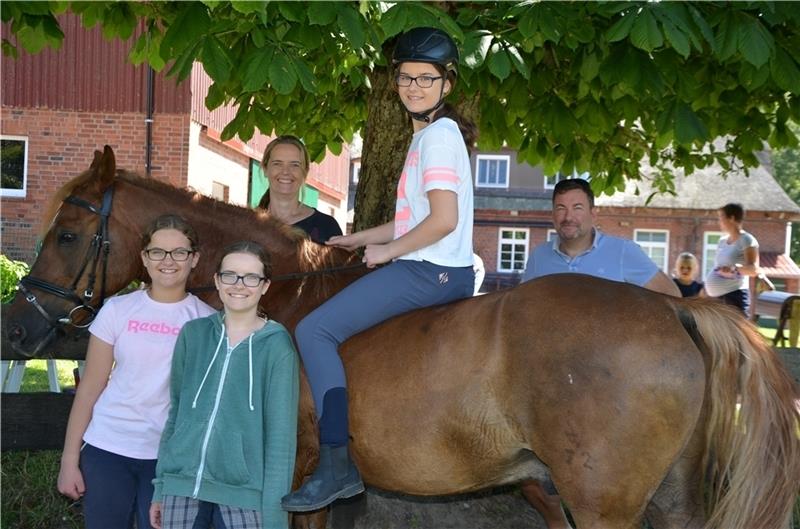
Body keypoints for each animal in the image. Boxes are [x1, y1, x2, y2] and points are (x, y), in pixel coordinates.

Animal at [3, 147, 796, 528]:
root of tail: (673, 310)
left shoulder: (292, 473)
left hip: (603, 504)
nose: (16, 323)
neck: (271, 296)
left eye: (67, 233)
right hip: (659, 500)